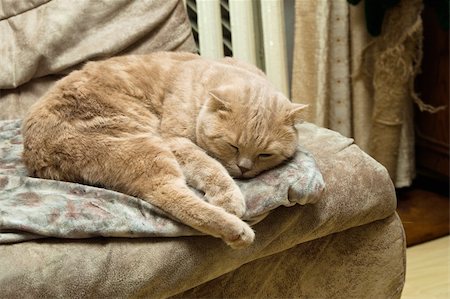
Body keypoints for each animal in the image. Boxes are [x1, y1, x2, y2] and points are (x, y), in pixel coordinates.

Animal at [22, 51, 308, 248]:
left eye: (265, 154)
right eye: (232, 146)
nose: (244, 168)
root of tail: (36, 155)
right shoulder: (175, 140)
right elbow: (210, 166)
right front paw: (228, 196)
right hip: (147, 148)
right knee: (169, 195)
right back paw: (237, 230)